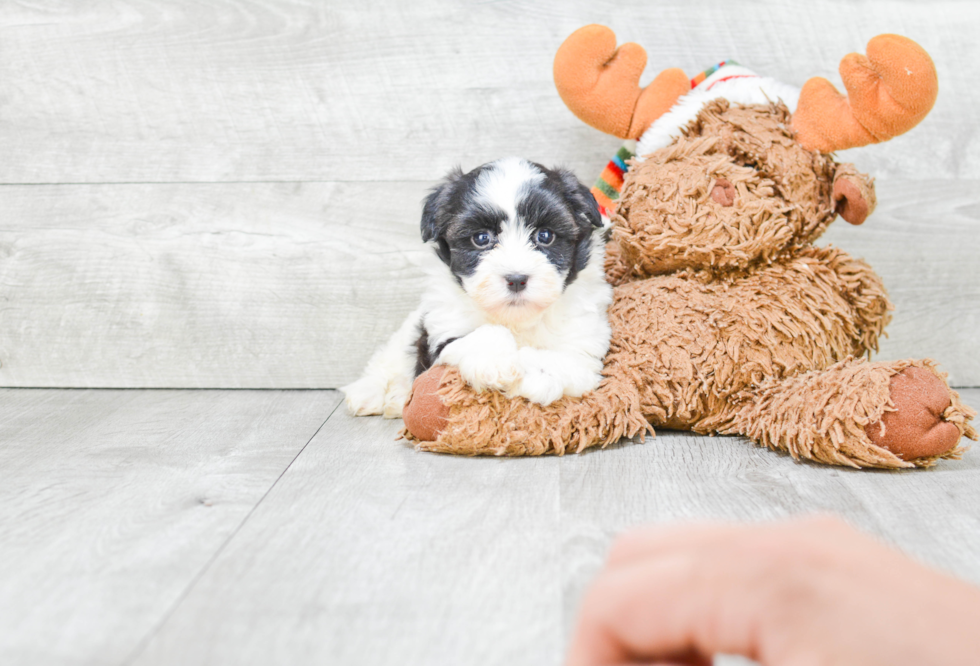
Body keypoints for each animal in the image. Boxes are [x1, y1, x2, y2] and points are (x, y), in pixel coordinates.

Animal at [340, 157, 608, 416]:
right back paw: (370, 394)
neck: (517, 320)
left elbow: (563, 358)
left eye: (545, 236)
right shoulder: (443, 329)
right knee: (389, 358)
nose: (516, 279)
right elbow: (485, 333)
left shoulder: (585, 346)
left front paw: (539, 376)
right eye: (481, 239)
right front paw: (495, 362)